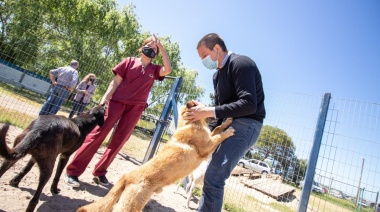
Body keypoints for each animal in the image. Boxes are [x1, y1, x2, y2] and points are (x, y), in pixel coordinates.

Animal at [77, 101, 235, 212]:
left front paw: (227, 122)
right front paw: (228, 131)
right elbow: (218, 135)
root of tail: (127, 177)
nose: (219, 112)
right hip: (130, 206)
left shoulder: (208, 142)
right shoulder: (207, 148)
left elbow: (217, 129)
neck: (190, 123)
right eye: (205, 108)